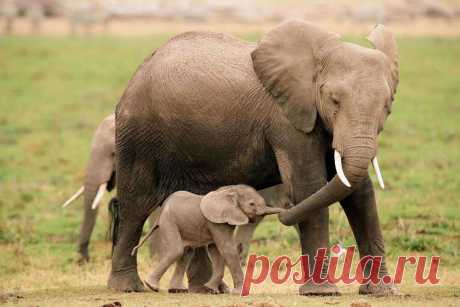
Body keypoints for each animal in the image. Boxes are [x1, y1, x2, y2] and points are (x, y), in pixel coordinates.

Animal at [132, 184, 284, 294]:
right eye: (252, 204)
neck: (230, 190)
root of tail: (162, 211)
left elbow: (216, 252)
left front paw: (211, 289)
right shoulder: (216, 222)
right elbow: (226, 249)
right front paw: (238, 292)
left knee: (186, 253)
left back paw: (177, 290)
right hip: (169, 221)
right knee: (176, 250)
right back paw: (152, 286)